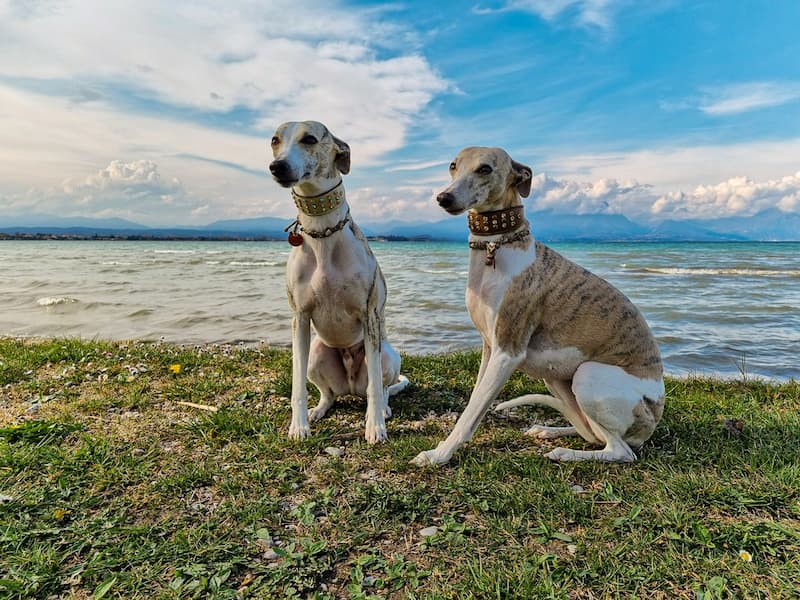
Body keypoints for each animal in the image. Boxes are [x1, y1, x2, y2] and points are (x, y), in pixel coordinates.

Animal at [270, 120, 410, 440]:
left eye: (309, 139)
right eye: (274, 140)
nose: (277, 166)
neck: (322, 234)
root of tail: (350, 387)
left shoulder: (369, 314)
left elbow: (376, 387)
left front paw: (375, 428)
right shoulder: (299, 317)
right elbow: (297, 386)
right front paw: (299, 426)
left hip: (387, 355)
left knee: (380, 387)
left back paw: (382, 410)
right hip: (317, 353)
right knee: (329, 393)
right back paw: (320, 409)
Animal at [410, 148, 664, 466]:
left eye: (485, 169)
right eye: (453, 166)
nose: (444, 198)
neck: (496, 247)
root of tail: (654, 418)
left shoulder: (507, 351)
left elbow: (472, 410)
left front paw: (438, 454)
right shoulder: (489, 347)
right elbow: (475, 403)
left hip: (588, 375)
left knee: (620, 450)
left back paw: (565, 453)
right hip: (556, 379)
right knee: (593, 434)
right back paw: (550, 430)